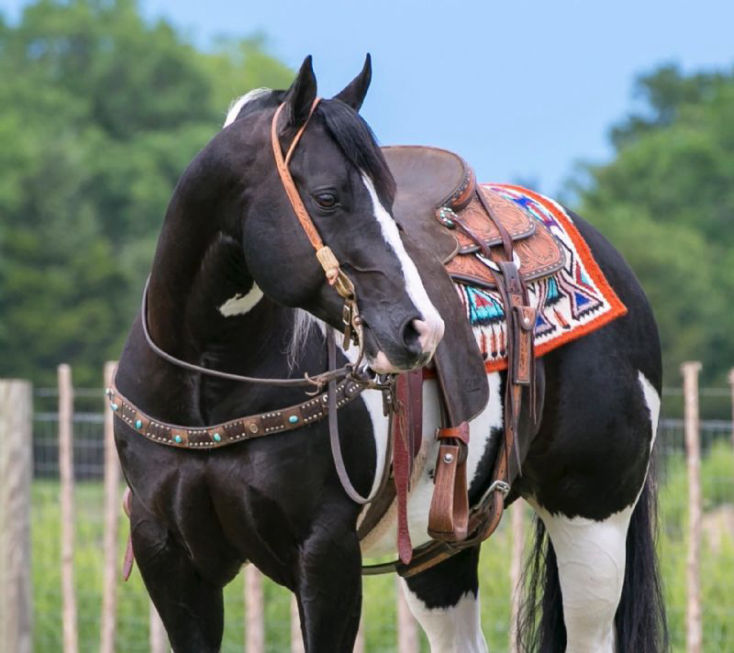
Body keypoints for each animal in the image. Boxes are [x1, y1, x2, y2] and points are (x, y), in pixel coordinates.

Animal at [112, 55, 667, 652]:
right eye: (327, 197)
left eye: (389, 196)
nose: (421, 329)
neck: (211, 389)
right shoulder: (169, 558)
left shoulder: (325, 553)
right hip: (440, 550)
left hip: (593, 521)